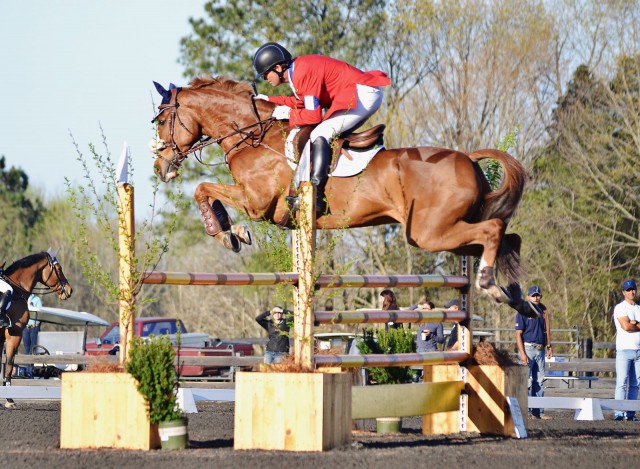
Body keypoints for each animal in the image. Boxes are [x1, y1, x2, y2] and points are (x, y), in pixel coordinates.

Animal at [0, 249, 73, 406]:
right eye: (59, 269)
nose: (69, 290)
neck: (17, 289)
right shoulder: (15, 334)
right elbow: (9, 364)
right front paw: (9, 399)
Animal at [152, 77, 528, 302]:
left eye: (161, 121)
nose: (161, 167)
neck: (253, 136)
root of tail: (468, 159)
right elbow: (205, 190)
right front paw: (231, 232)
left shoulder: (256, 203)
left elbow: (203, 188)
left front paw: (228, 233)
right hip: (447, 231)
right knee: (508, 238)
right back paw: (519, 300)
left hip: (428, 232)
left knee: (493, 229)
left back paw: (490, 285)